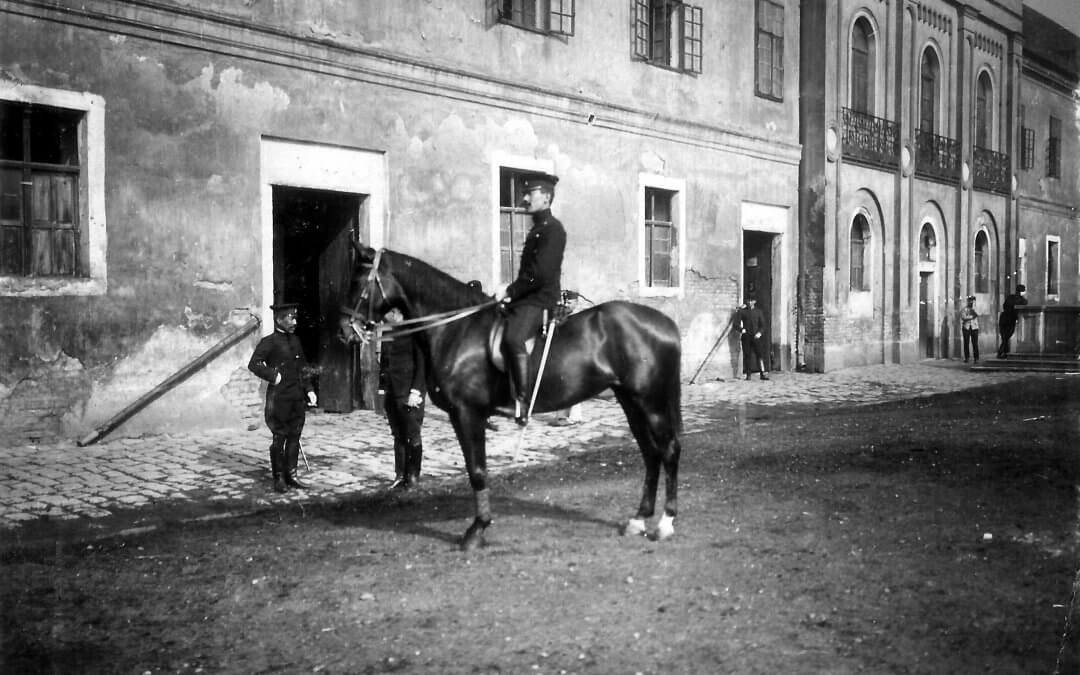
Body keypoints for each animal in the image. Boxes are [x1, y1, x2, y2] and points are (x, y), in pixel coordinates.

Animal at [339, 245, 682, 550]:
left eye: (358, 281)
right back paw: (639, 519)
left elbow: (477, 471)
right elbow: (475, 468)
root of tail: (665, 323)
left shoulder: (467, 413)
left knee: (668, 451)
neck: (458, 330)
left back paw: (666, 523)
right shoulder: (462, 416)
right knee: (650, 454)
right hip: (630, 402)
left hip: (650, 402)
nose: (344, 330)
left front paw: (477, 530)